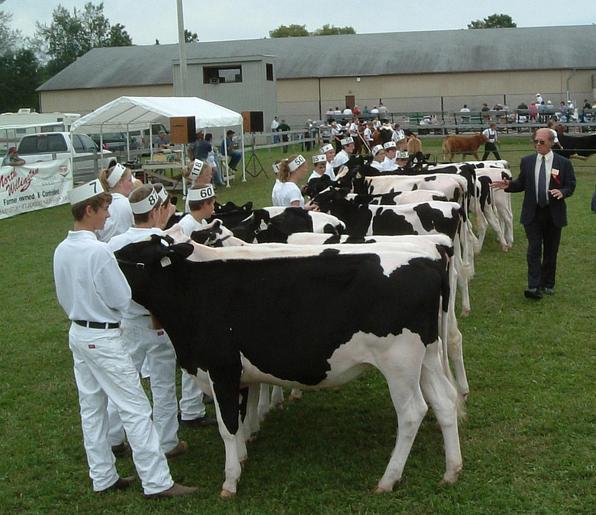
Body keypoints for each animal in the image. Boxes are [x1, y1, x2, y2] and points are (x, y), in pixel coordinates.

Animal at [115, 239, 460, 500]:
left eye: (128, 258)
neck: (192, 294)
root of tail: (427, 262)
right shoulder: (239, 376)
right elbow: (240, 418)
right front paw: (243, 457)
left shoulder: (221, 370)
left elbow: (228, 427)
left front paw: (230, 481)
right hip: (427, 357)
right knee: (445, 401)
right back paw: (451, 470)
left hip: (399, 362)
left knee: (412, 412)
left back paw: (388, 479)